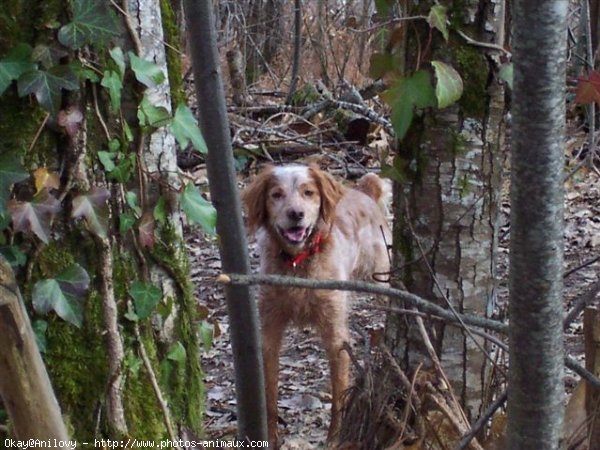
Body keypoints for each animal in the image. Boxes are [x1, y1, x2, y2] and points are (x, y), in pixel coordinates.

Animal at [241, 164, 392, 446]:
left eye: (308, 192)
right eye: (276, 194)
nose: (296, 214)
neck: (298, 262)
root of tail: (364, 190)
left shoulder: (335, 336)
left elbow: (338, 396)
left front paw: (334, 438)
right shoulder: (270, 330)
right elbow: (270, 394)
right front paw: (271, 437)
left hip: (381, 278)